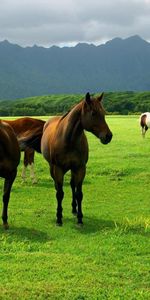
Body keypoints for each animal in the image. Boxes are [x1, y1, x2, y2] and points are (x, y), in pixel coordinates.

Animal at [41, 92, 112, 226]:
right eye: (93, 113)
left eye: (104, 113)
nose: (108, 136)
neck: (68, 139)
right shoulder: (58, 169)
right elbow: (60, 193)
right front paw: (59, 218)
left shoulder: (80, 168)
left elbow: (79, 193)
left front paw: (79, 218)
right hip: (52, 168)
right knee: (57, 187)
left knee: (72, 184)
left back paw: (74, 209)